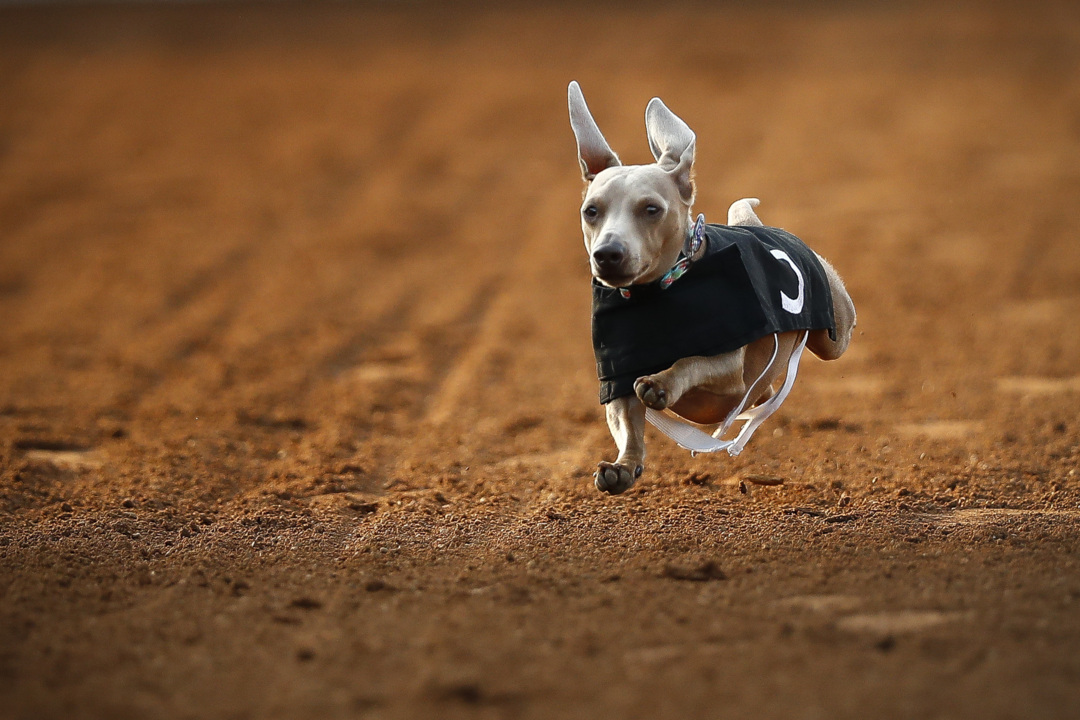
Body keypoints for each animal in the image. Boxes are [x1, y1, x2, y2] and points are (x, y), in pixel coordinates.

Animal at [570, 80, 855, 496]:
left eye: (651, 209)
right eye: (591, 211)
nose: (607, 254)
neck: (659, 293)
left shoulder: (729, 364)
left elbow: (690, 361)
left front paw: (660, 384)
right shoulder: (617, 381)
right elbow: (627, 423)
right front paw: (622, 467)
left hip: (835, 335)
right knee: (764, 391)